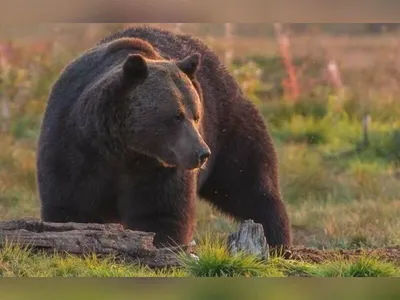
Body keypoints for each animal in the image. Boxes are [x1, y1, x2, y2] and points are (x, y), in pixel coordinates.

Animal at [36, 25, 292, 248]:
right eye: (176, 116)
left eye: (196, 115)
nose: (202, 153)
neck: (122, 151)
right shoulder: (74, 150)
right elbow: (70, 206)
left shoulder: (158, 169)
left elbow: (160, 212)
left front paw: (161, 243)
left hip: (229, 125)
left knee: (251, 184)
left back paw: (278, 241)